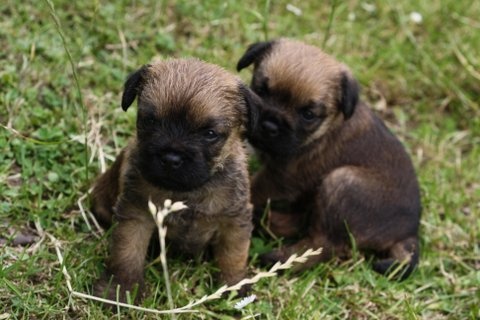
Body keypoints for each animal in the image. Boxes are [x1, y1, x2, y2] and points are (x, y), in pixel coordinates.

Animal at [92, 58, 260, 302]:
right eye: (150, 121)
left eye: (210, 134)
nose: (171, 158)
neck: (187, 193)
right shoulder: (137, 214)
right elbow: (127, 253)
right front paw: (121, 289)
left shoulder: (234, 220)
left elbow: (234, 255)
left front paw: (234, 286)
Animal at [236, 39, 420, 280]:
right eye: (260, 90)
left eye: (308, 115)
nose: (269, 125)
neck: (324, 129)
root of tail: (409, 233)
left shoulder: (279, 178)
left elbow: (253, 187)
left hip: (341, 181)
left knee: (323, 244)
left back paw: (278, 258)